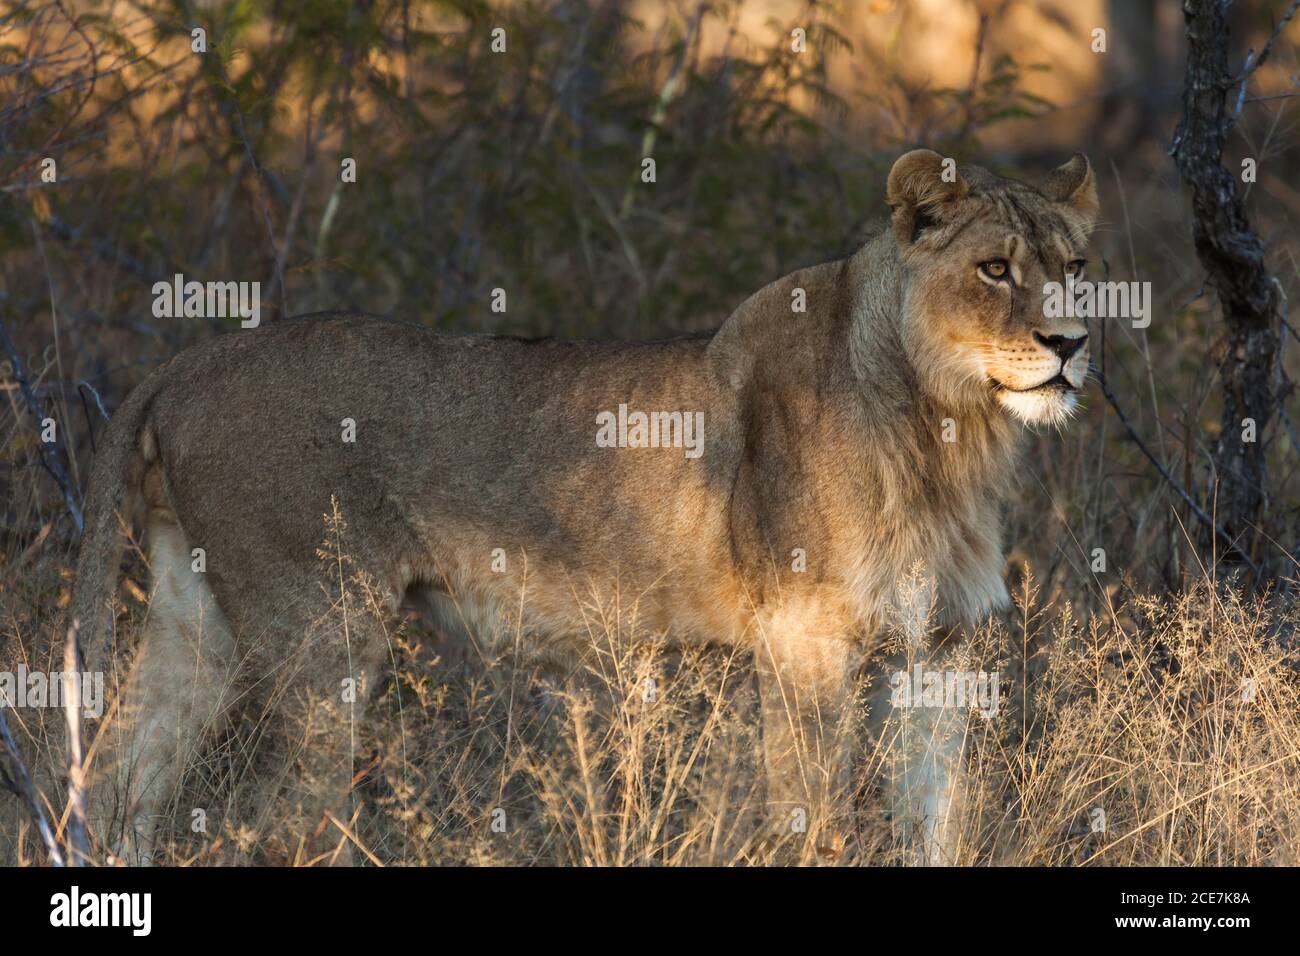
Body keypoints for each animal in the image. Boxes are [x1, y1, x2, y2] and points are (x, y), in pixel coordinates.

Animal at [71, 148, 1096, 863]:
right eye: (995, 270)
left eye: (1077, 266)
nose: (1073, 342)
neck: (949, 430)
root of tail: (188, 361)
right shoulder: (805, 640)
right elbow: (814, 819)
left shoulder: (940, 649)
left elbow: (938, 824)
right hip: (323, 633)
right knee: (286, 820)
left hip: (196, 616)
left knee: (121, 777)